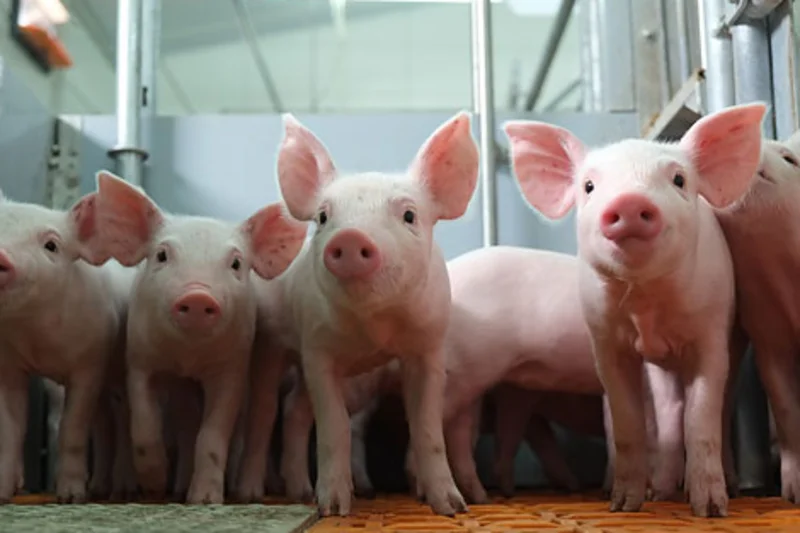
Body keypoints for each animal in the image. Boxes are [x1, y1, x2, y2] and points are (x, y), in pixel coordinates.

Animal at [0, 190, 123, 503]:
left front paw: (71, 497)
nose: (1, 254)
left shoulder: (91, 363)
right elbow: (12, 429)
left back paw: (97, 490)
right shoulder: (9, 364)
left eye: (51, 245)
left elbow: (74, 426)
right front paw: (3, 495)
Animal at [89, 171, 308, 504]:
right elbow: (144, 422)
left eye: (236, 263)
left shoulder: (232, 368)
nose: (197, 295)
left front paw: (204, 500)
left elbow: (213, 434)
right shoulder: (139, 359)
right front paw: (154, 485)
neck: (188, 357)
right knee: (185, 424)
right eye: (162, 255)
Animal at [236, 112, 479, 517]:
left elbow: (427, 428)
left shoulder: (429, 346)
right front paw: (333, 510)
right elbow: (333, 428)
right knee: (266, 410)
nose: (349, 238)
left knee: (295, 410)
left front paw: (452, 508)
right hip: (269, 342)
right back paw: (252, 495)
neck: (374, 331)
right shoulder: (318, 350)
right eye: (322, 217)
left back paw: (301, 492)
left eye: (409, 215)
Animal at [503, 102, 766, 517]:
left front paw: (710, 510)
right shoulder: (605, 340)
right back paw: (660, 492)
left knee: (717, 410)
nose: (628, 202)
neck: (646, 303)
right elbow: (627, 422)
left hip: (734, 339)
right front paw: (623, 506)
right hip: (657, 367)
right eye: (589, 186)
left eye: (678, 179)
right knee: (669, 409)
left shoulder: (711, 331)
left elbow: (702, 416)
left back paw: (728, 488)